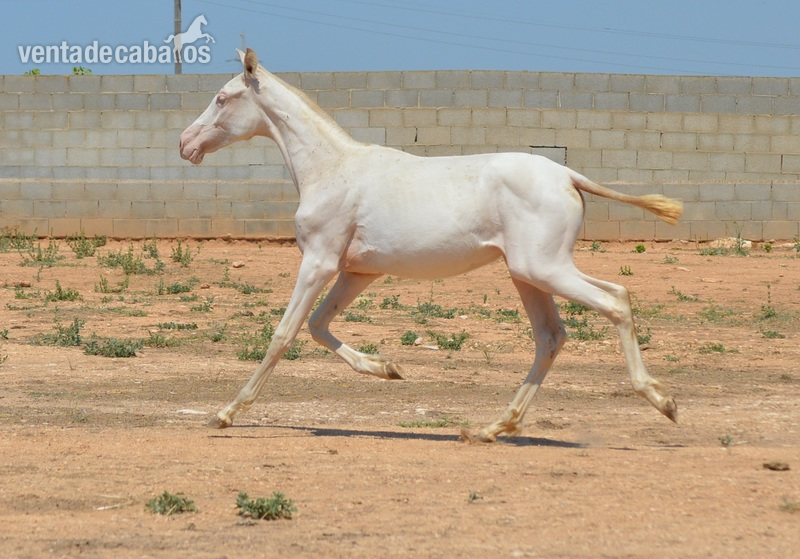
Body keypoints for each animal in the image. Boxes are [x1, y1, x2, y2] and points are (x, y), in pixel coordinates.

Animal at [180, 48, 682, 442]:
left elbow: (284, 334)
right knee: (553, 336)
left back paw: (662, 401)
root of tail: (567, 175)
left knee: (614, 301)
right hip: (531, 274)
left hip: (544, 269)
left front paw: (225, 413)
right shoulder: (357, 271)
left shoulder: (319, 262)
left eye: (222, 97)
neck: (329, 169)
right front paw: (387, 368)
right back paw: (493, 428)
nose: (185, 143)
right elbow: (319, 326)